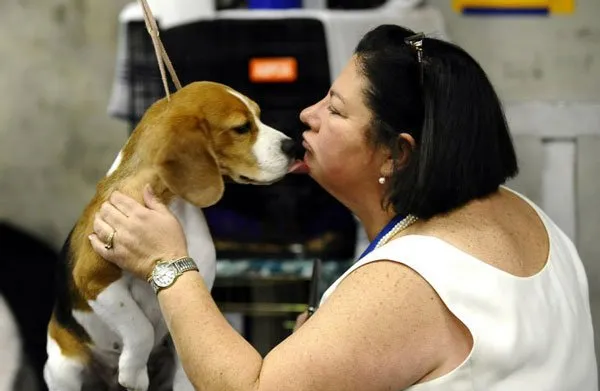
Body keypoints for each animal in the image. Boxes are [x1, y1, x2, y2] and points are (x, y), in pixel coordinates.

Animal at [42, 81, 300, 390]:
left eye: (259, 116)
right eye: (241, 128)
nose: (293, 146)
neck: (173, 205)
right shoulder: (94, 279)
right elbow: (140, 326)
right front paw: (134, 373)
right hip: (63, 368)